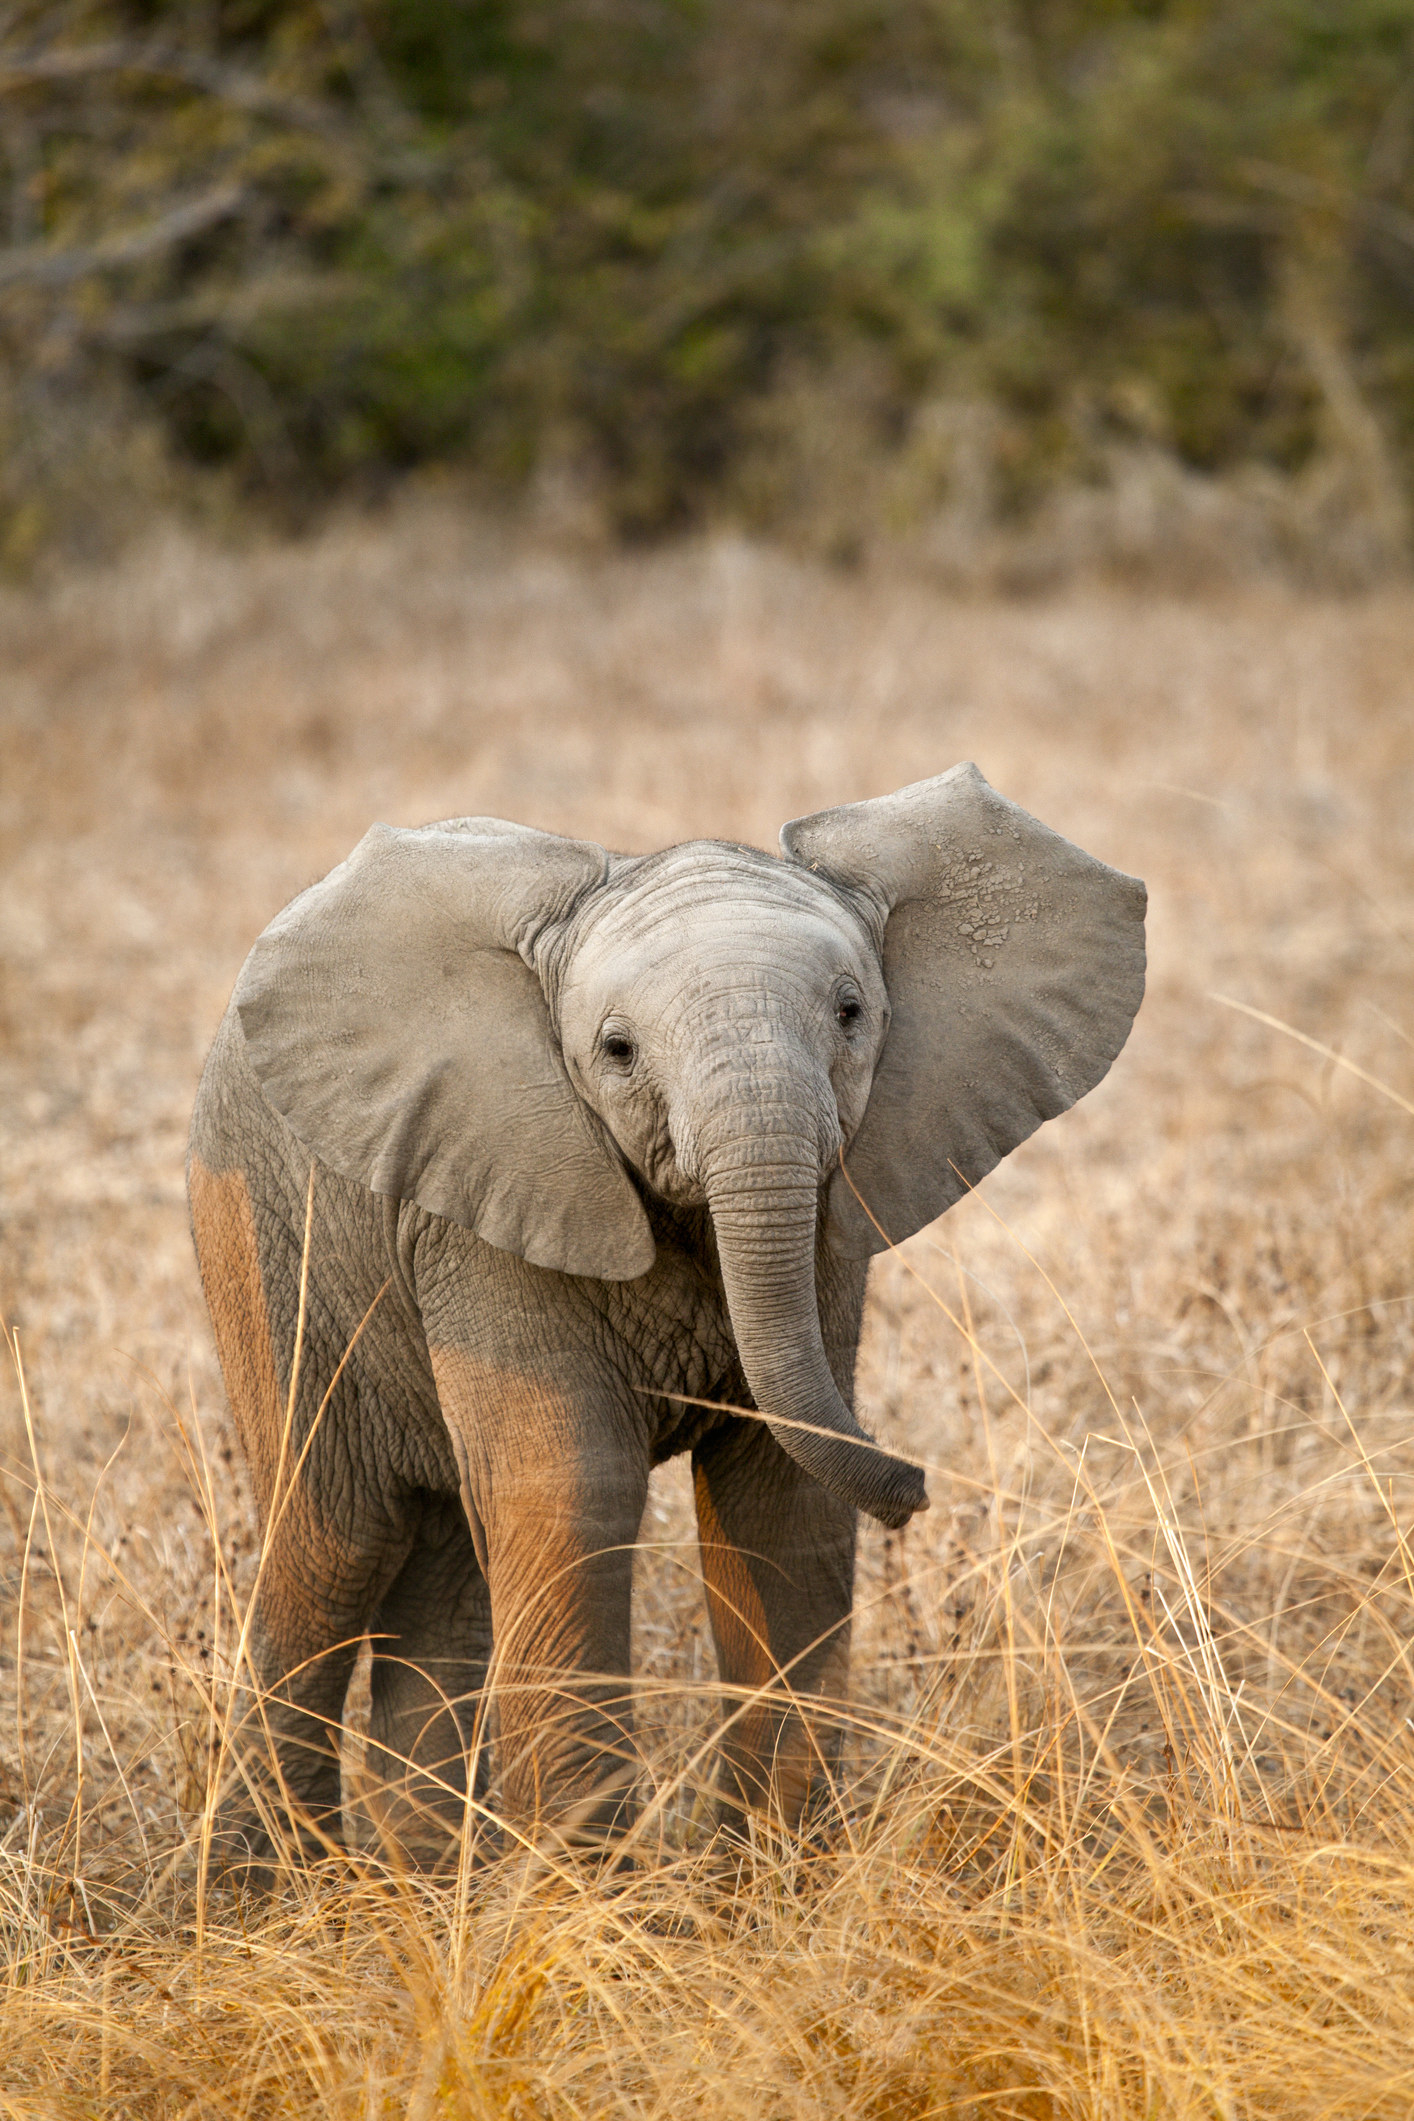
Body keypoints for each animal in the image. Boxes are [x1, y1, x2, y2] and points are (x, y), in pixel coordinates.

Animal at [187, 763, 1144, 1874]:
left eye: (852, 1012)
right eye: (616, 1050)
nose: (917, 1488)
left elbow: (782, 1497)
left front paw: (776, 1885)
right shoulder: (489, 1199)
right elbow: (572, 1493)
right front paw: (586, 1905)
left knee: (444, 1574)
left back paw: (424, 1885)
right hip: (256, 1233)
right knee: (331, 1548)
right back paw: (271, 1892)